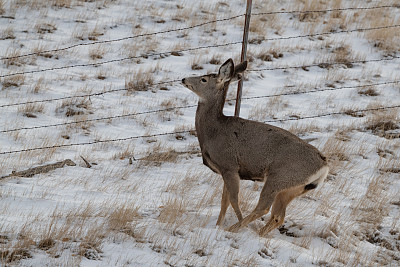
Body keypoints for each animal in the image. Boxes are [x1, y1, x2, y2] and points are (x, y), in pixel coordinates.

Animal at [181, 58, 328, 237]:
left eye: (204, 79)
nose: (183, 79)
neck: (213, 131)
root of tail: (324, 166)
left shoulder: (229, 165)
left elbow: (233, 199)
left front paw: (230, 225)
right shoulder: (226, 171)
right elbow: (224, 201)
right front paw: (217, 225)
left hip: (279, 177)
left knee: (264, 208)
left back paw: (237, 228)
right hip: (293, 188)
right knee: (279, 216)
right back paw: (258, 233)